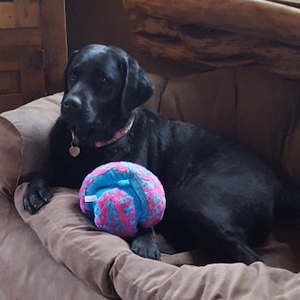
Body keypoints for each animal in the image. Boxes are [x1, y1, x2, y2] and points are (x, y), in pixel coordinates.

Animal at [22, 43, 298, 264]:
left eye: (103, 80)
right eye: (73, 74)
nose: (69, 103)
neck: (92, 145)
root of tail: (277, 183)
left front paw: (145, 243)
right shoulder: (65, 172)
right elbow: (42, 172)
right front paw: (34, 192)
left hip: (196, 198)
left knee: (250, 259)